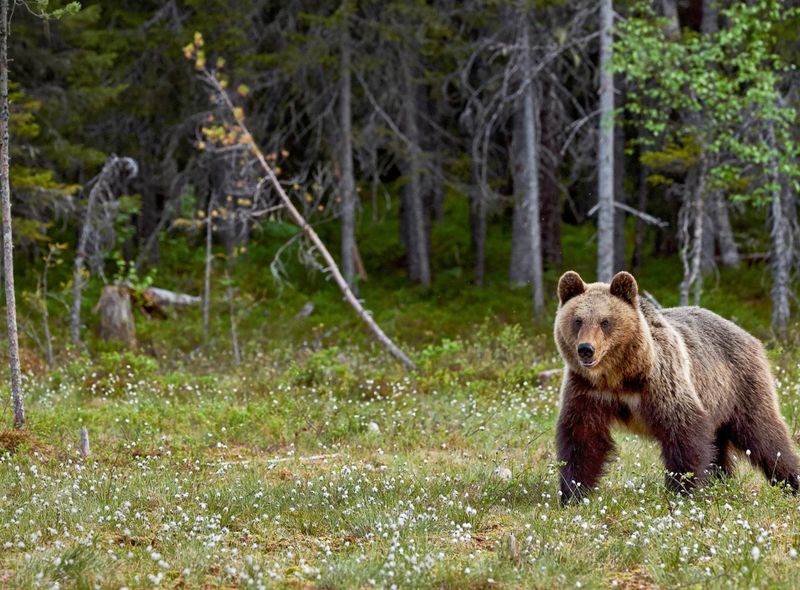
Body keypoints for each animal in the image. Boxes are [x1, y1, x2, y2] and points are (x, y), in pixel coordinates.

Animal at [554, 270, 800, 504]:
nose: (586, 349)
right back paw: (721, 481)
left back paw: (791, 481)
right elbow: (582, 438)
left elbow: (683, 430)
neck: (618, 376)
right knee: (719, 446)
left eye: (605, 321)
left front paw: (683, 489)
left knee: (764, 435)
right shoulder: (587, 390)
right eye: (578, 320)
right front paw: (573, 493)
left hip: (741, 384)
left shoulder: (661, 382)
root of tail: (746, 333)